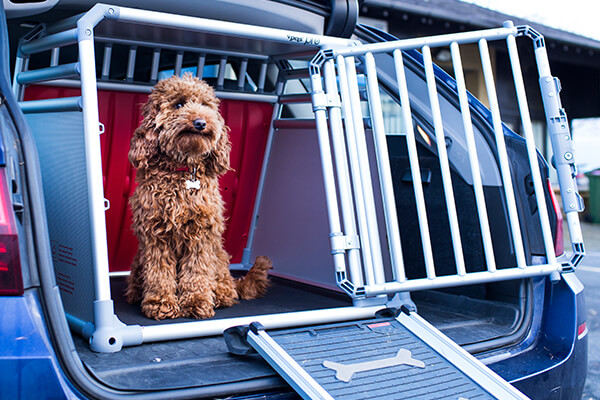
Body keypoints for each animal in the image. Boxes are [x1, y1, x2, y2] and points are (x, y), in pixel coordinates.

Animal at [126, 73, 272, 320]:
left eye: (205, 105)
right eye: (179, 104)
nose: (200, 123)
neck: (183, 169)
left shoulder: (201, 234)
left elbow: (196, 271)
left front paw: (196, 301)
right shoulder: (155, 235)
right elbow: (159, 272)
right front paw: (160, 302)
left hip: (219, 257)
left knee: (226, 286)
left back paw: (220, 294)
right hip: (138, 260)